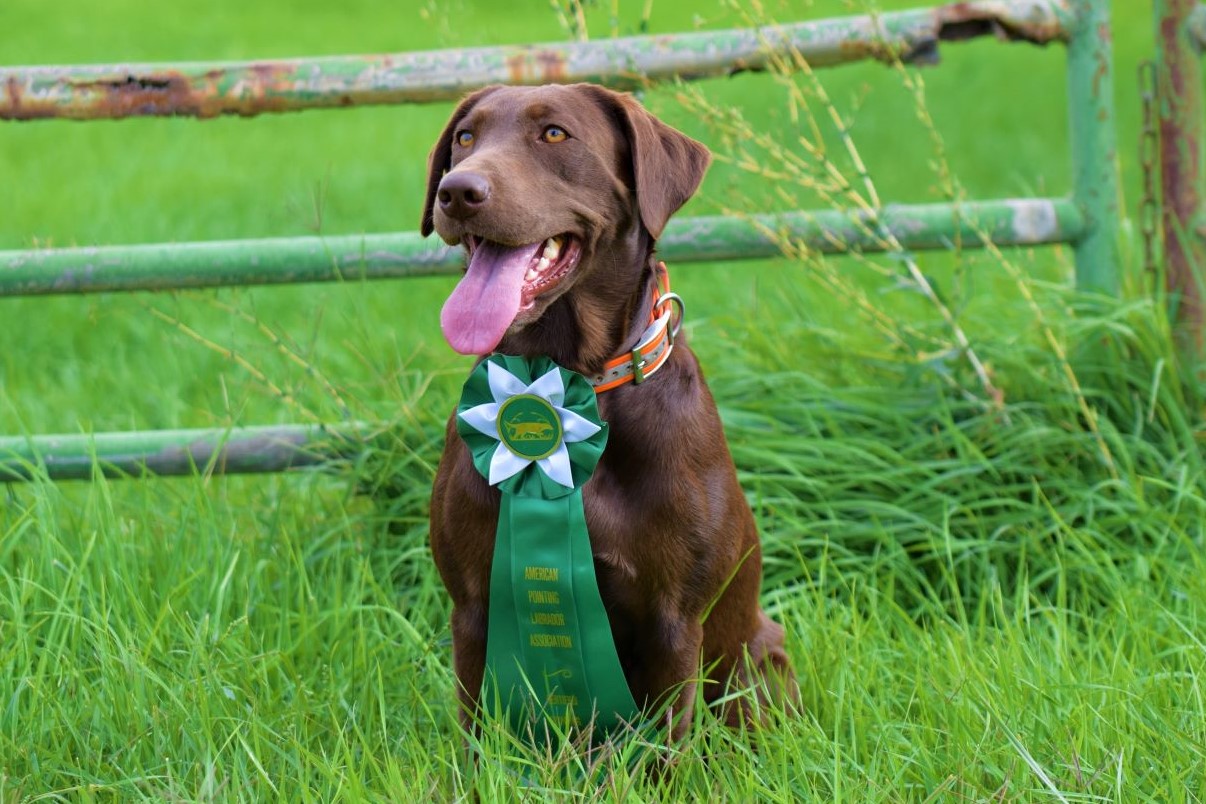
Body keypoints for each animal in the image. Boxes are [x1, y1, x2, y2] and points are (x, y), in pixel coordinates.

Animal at [424, 83, 791, 737]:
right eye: (465, 138)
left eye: (554, 134)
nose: (458, 191)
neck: (574, 380)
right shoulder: (472, 605)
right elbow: (477, 733)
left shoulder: (674, 619)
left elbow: (666, 744)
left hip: (761, 654)